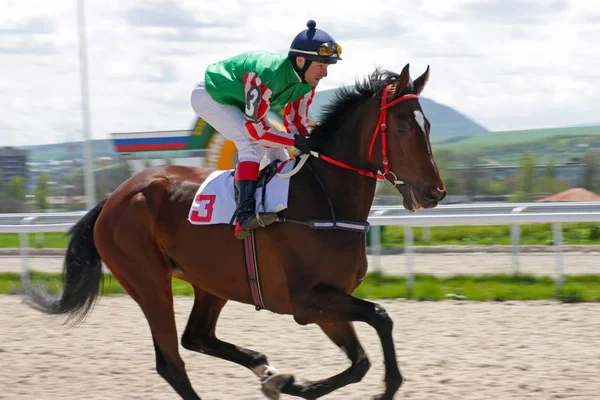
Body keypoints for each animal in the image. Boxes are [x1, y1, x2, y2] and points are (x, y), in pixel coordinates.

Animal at [23, 64, 446, 398]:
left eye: (428, 125)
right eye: (403, 126)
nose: (435, 192)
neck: (324, 201)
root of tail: (114, 197)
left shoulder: (328, 302)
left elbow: (360, 359)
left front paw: (289, 382)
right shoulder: (306, 301)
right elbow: (380, 317)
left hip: (210, 281)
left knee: (196, 337)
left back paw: (265, 368)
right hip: (148, 282)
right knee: (171, 361)